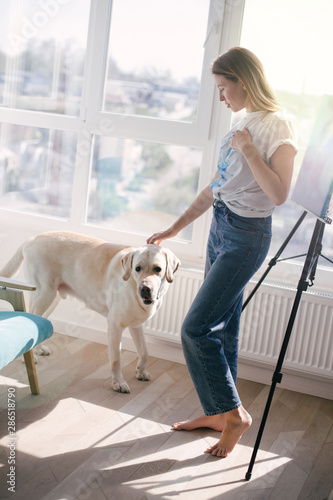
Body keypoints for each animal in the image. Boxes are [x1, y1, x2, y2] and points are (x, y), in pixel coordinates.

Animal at [1, 232, 179, 392]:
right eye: (137, 268)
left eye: (158, 269)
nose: (145, 289)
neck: (132, 286)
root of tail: (33, 238)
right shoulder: (114, 325)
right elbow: (116, 359)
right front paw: (118, 383)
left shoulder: (136, 325)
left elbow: (144, 351)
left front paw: (141, 372)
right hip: (44, 294)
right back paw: (29, 356)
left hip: (52, 298)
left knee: (38, 322)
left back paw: (39, 349)